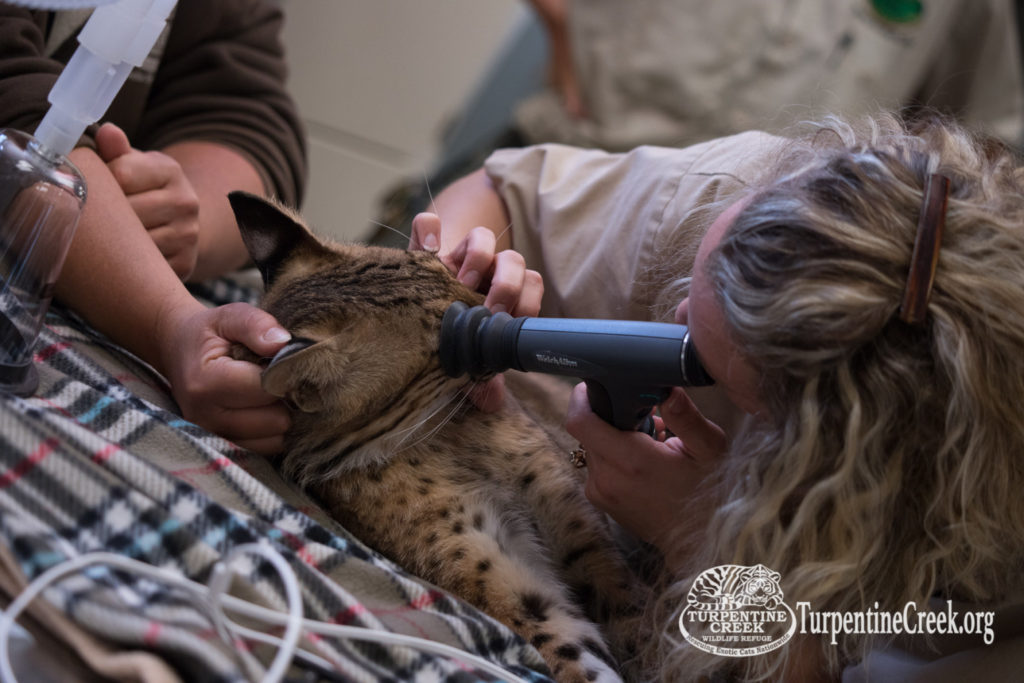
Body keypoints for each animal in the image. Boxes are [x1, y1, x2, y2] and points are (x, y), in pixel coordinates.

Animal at [229, 191, 643, 683]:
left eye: (444, 265)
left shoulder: (576, 520)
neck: (436, 434)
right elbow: (573, 656)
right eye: (452, 345)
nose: (505, 310)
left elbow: (631, 612)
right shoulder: (501, 582)